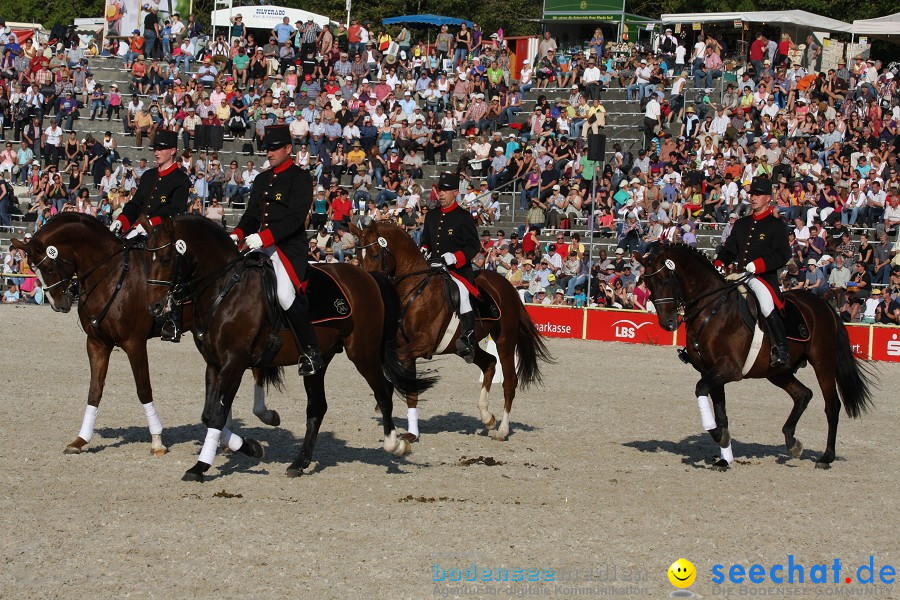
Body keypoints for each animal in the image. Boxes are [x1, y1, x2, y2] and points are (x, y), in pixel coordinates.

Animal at [146, 216, 434, 482]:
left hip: (363, 353)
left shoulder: (234, 362)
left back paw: (395, 445)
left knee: (383, 393)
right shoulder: (214, 363)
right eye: (149, 256)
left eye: (166, 257)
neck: (226, 289)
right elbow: (208, 414)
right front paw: (248, 447)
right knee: (317, 407)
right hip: (320, 359)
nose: (155, 307)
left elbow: (216, 415)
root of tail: (368, 277)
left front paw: (201, 466)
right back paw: (300, 462)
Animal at [350, 219, 548, 440]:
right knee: (489, 362)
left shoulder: (423, 344)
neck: (414, 288)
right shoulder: (407, 347)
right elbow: (409, 389)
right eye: (357, 255)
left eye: (375, 255)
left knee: (509, 381)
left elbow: (398, 369)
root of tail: (506, 285)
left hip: (505, 339)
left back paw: (502, 430)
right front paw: (412, 433)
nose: (368, 287)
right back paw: (487, 417)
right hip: (465, 347)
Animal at [632, 243, 872, 468]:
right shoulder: (711, 371)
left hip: (823, 362)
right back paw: (792, 443)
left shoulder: (729, 369)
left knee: (832, 406)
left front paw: (719, 436)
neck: (712, 309)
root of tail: (822, 304)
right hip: (777, 371)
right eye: (648, 284)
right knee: (803, 395)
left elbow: (701, 391)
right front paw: (724, 457)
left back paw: (826, 457)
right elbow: (721, 414)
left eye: (665, 280)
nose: (668, 323)